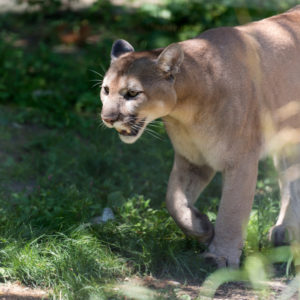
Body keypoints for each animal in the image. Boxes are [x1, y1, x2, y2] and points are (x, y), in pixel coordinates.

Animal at [100, 5, 300, 268]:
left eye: (132, 93)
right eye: (106, 90)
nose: (107, 118)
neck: (185, 111)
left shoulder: (241, 162)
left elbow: (231, 211)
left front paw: (220, 255)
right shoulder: (193, 159)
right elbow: (173, 200)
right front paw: (202, 227)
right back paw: (286, 232)